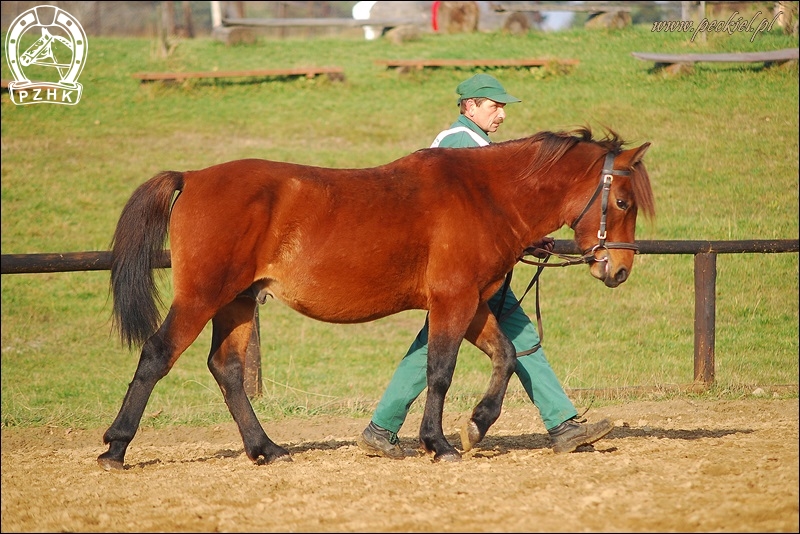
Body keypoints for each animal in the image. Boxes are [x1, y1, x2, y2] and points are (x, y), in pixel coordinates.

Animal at [97, 125, 652, 468]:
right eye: (623, 202)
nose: (620, 269)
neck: (484, 194)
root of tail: (193, 178)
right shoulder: (453, 301)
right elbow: (440, 371)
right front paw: (439, 443)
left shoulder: (471, 304)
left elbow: (508, 355)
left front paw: (477, 425)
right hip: (202, 297)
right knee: (157, 355)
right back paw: (115, 449)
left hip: (236, 301)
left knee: (227, 369)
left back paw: (266, 448)